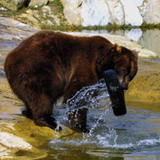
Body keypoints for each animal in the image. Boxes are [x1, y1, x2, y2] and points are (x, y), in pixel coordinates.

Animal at [4, 30, 138, 132]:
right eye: (123, 70)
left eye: (132, 75)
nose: (124, 86)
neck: (99, 64)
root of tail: (9, 58)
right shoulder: (85, 65)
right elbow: (76, 94)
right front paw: (82, 126)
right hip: (38, 69)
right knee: (43, 95)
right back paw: (48, 122)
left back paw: (30, 113)